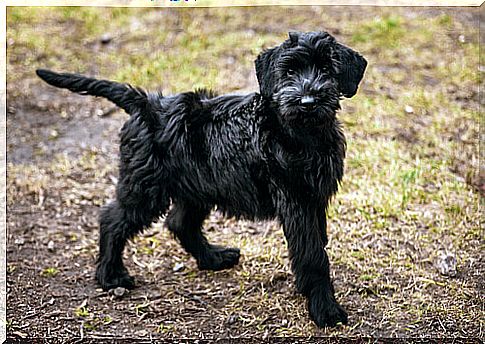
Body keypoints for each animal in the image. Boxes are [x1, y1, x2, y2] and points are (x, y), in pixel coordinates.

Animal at [36, 30, 364, 326]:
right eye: (290, 71)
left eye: (326, 69)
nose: (308, 101)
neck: (298, 133)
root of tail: (146, 105)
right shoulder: (297, 201)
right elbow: (312, 255)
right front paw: (325, 310)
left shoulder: (315, 198)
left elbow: (316, 245)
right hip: (146, 187)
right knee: (113, 219)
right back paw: (111, 275)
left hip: (196, 187)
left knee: (179, 223)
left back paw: (212, 258)